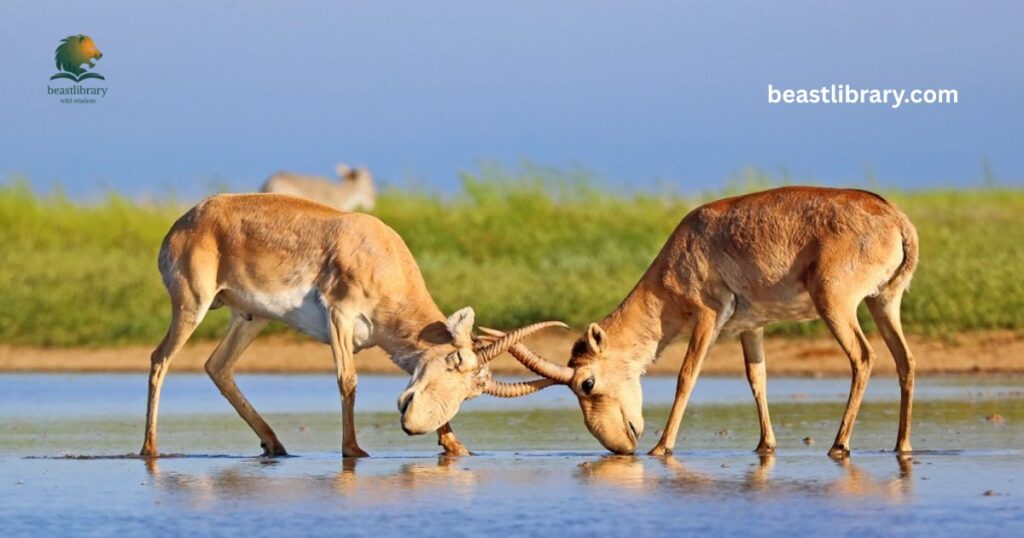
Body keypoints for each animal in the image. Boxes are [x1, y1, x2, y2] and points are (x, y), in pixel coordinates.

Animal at [140, 193, 562, 458]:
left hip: (250, 317)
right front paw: (354, 450)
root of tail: (184, 222)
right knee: (160, 358)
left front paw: (457, 447)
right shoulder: (339, 317)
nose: (411, 427)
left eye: (472, 393)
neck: (379, 254)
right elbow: (348, 380)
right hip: (192, 305)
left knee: (217, 366)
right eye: (455, 361)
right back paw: (150, 449)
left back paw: (275, 445)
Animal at [484, 187, 919, 458]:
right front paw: (765, 446)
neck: (688, 242)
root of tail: (897, 221)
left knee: (864, 357)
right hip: (884, 302)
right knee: (905, 360)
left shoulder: (708, 316)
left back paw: (839, 445)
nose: (621, 447)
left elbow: (686, 376)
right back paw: (902, 446)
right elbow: (757, 379)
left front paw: (662, 447)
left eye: (586, 383)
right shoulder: (751, 327)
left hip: (837, 306)